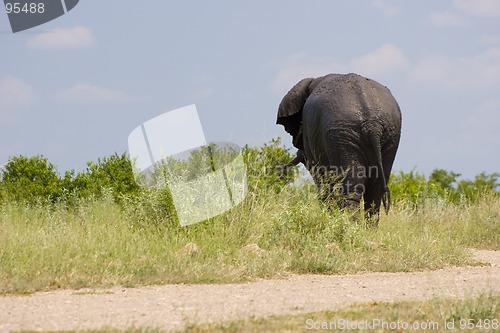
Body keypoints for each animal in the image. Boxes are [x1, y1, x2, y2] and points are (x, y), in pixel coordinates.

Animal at [278, 72, 402, 220]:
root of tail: (372, 125)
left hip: (342, 134)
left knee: (350, 191)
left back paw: (348, 225)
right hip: (389, 134)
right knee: (375, 193)